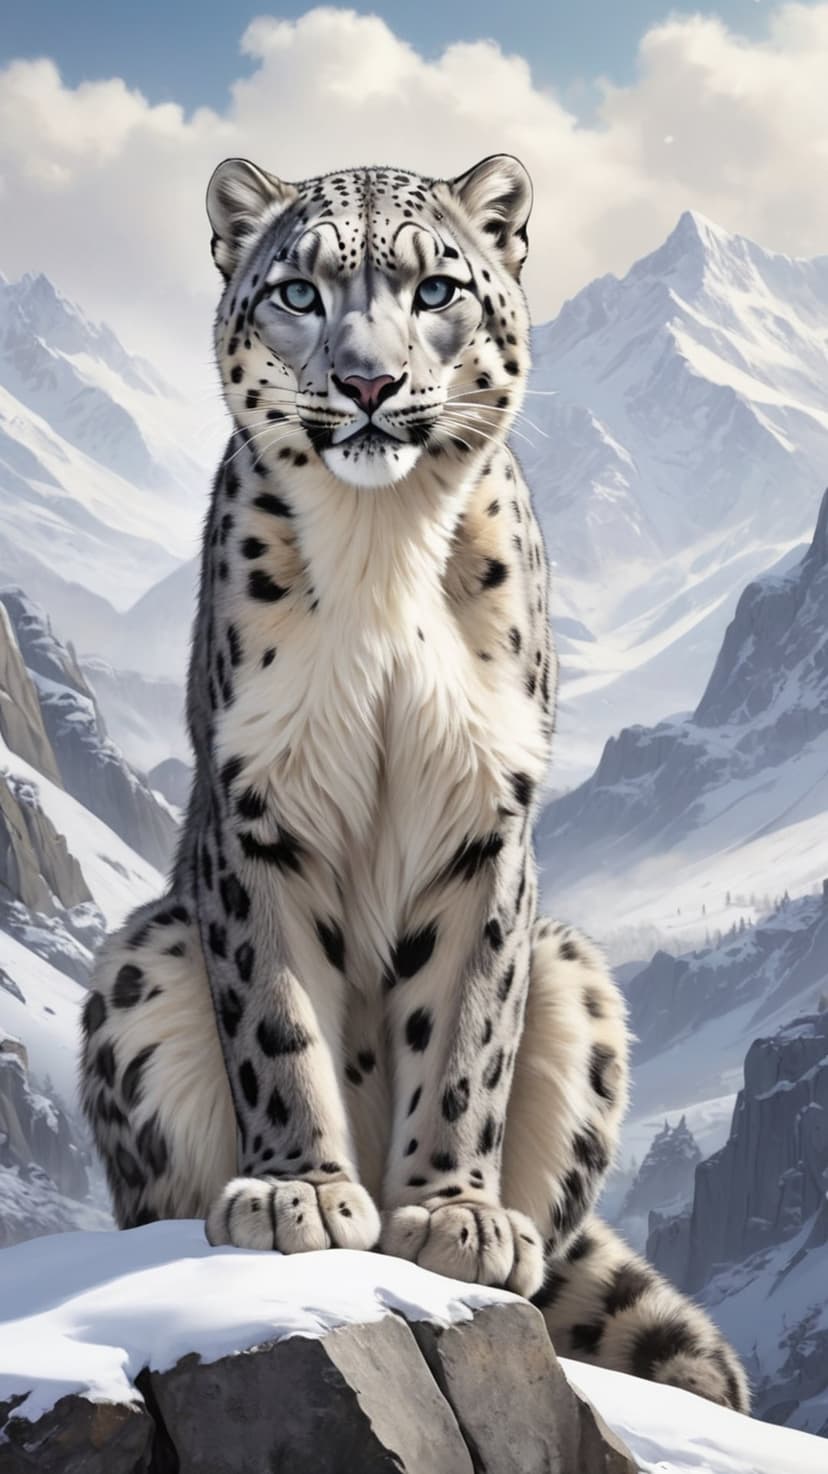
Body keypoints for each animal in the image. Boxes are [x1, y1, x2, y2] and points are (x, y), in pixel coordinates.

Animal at [80, 152, 749, 1414]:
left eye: (435, 286)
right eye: (297, 291)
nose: (368, 379)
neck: (382, 543)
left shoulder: (486, 816)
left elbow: (464, 1031)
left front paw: (449, 1215)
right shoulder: (258, 805)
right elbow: (278, 1017)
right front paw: (299, 1193)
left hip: (572, 970)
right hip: (144, 958)